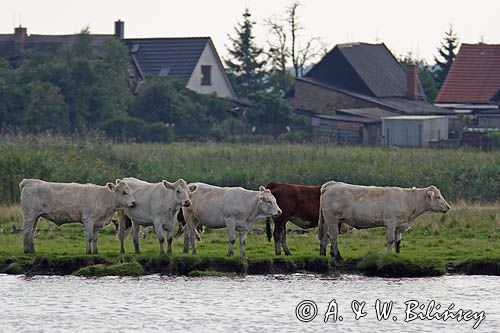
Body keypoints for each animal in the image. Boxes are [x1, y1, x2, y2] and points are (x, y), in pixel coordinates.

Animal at [318, 180, 452, 258]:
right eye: (438, 197)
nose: (448, 207)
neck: (408, 201)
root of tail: (331, 184)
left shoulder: (399, 225)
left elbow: (398, 241)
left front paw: (397, 255)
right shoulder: (391, 222)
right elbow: (390, 240)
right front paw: (387, 255)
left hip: (327, 221)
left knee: (325, 237)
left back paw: (322, 255)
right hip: (333, 219)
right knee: (333, 236)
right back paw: (338, 257)